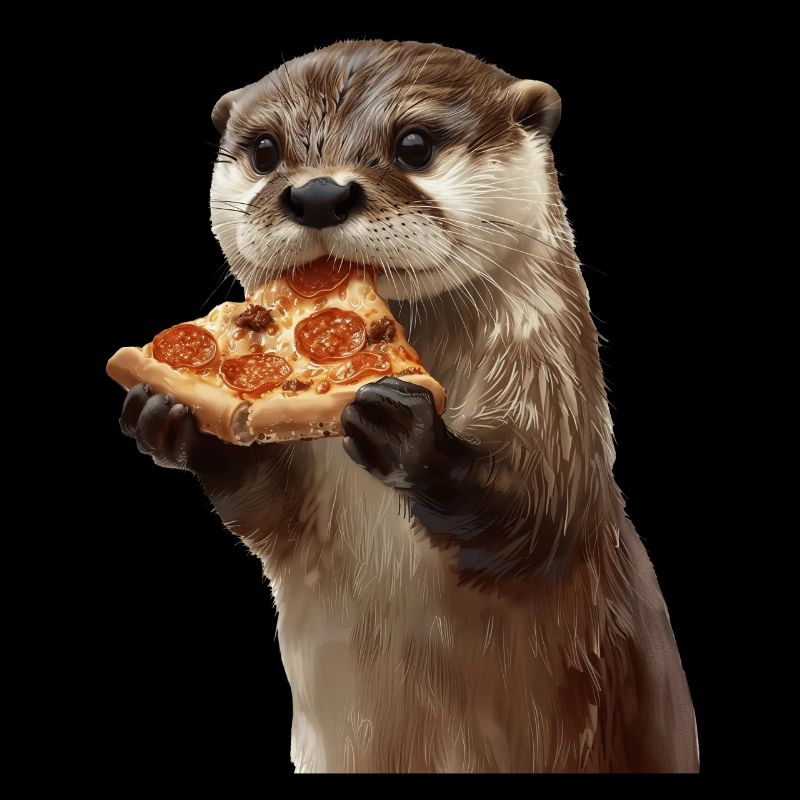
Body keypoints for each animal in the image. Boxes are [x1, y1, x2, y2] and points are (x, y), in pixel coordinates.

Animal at [118, 40, 699, 772]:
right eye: (266, 149)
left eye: (414, 145)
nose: (318, 193)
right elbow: (266, 510)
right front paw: (180, 423)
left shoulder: (556, 410)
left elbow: (539, 513)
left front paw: (407, 429)